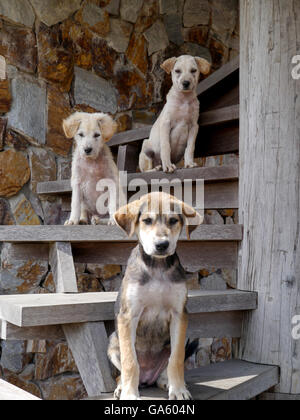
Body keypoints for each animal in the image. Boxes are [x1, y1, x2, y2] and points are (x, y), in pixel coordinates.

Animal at [106, 193, 203, 400]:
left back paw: (166, 382)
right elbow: (130, 361)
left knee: (166, 367)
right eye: (147, 221)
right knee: (121, 373)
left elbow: (176, 359)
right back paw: (122, 387)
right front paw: (129, 394)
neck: (158, 267)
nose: (162, 245)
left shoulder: (179, 314)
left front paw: (179, 390)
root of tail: (147, 378)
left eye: (173, 220)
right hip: (113, 341)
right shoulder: (128, 315)